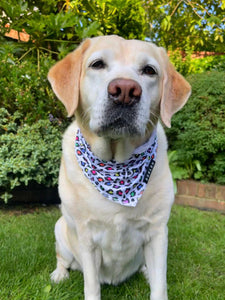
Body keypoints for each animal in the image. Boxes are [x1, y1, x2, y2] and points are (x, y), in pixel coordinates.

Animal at [48, 35, 191, 300]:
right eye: (97, 64)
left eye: (149, 70)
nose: (125, 91)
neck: (117, 165)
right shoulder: (87, 237)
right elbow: (91, 286)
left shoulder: (157, 232)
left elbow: (160, 285)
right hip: (61, 229)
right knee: (63, 259)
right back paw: (59, 274)